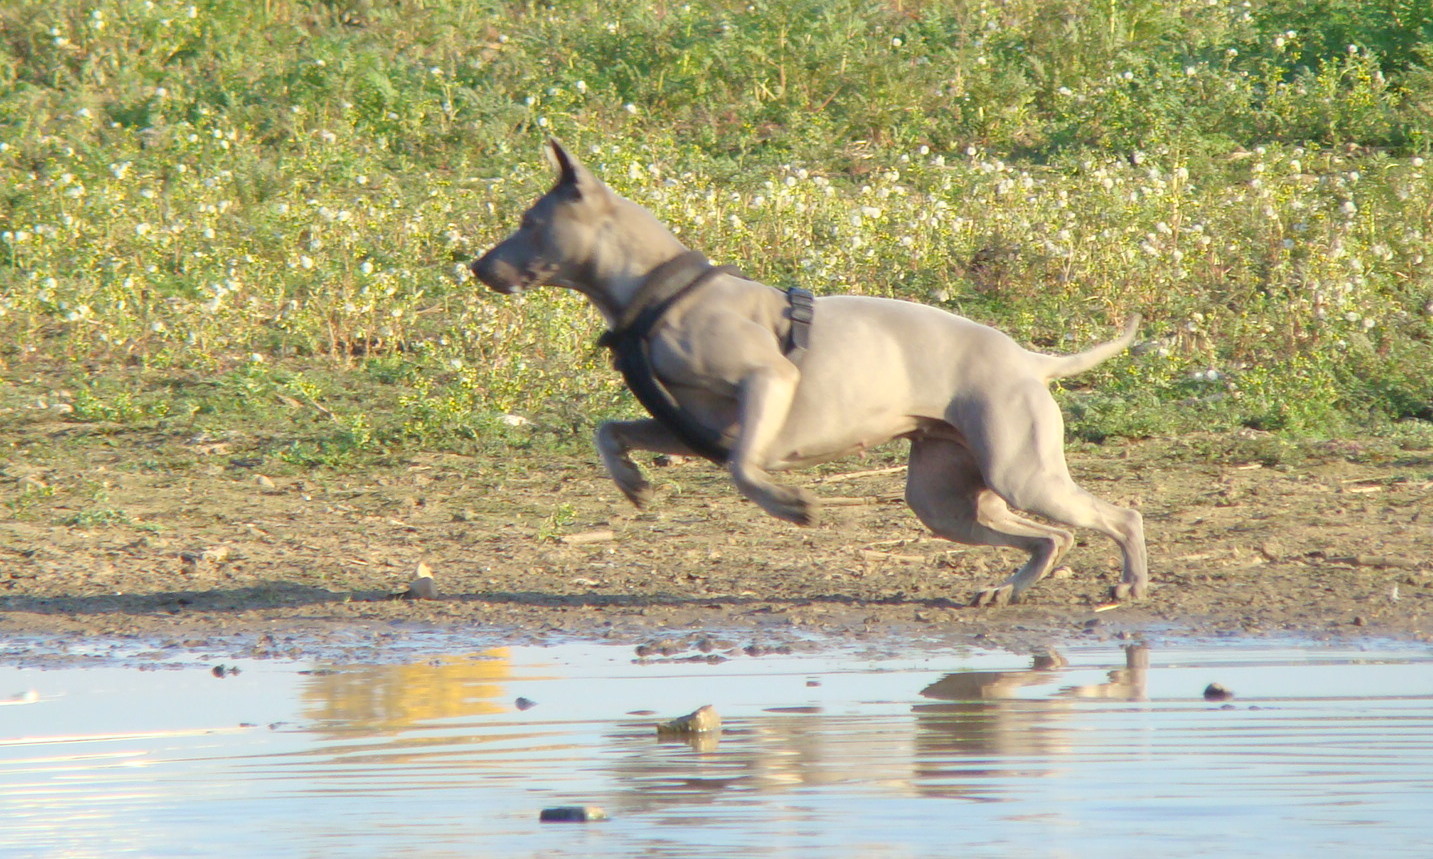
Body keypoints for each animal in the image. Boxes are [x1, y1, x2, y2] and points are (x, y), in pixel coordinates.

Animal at [472, 140, 1147, 606]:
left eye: (529, 222)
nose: (476, 266)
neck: (658, 291)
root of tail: (1029, 358)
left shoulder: (766, 383)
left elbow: (745, 467)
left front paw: (788, 504)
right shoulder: (689, 427)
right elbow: (610, 430)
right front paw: (632, 482)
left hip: (1019, 469)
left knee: (1119, 517)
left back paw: (1129, 583)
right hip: (943, 497)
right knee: (1049, 538)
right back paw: (1008, 588)